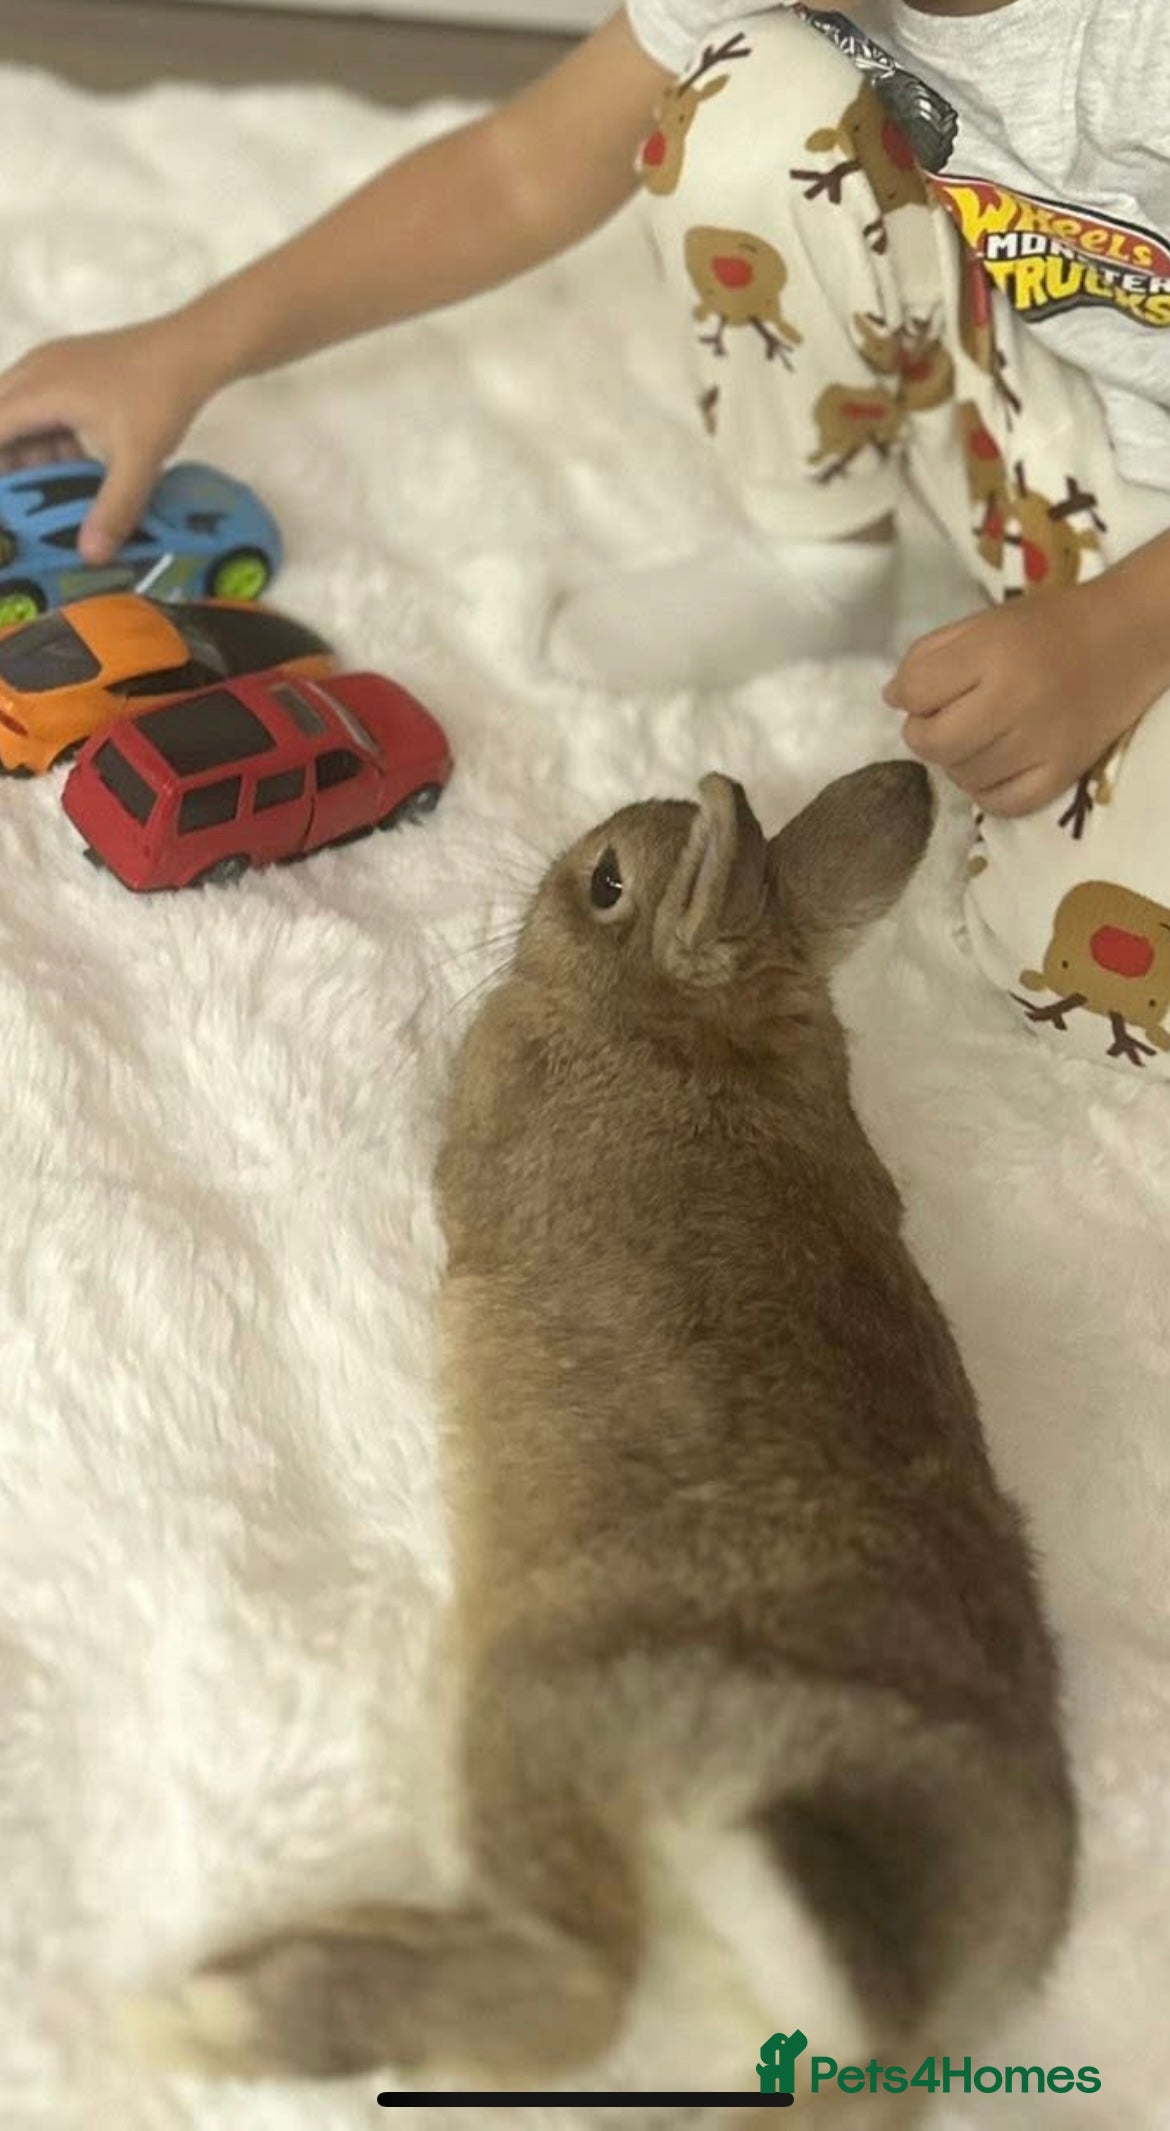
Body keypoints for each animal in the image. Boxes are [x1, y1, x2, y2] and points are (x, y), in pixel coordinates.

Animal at [122, 761, 1075, 2123]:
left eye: (608, 882)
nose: (544, 883)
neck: (698, 1012)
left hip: (548, 1713)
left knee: (575, 1989)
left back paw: (218, 2010)